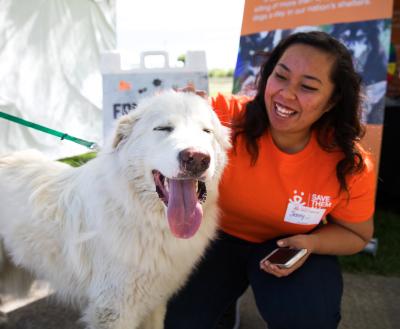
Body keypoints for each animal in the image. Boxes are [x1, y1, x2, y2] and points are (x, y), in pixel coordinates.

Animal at [0, 91, 231, 328]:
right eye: (163, 128)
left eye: (206, 131)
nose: (197, 158)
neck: (141, 216)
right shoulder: (114, 310)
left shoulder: (154, 303)